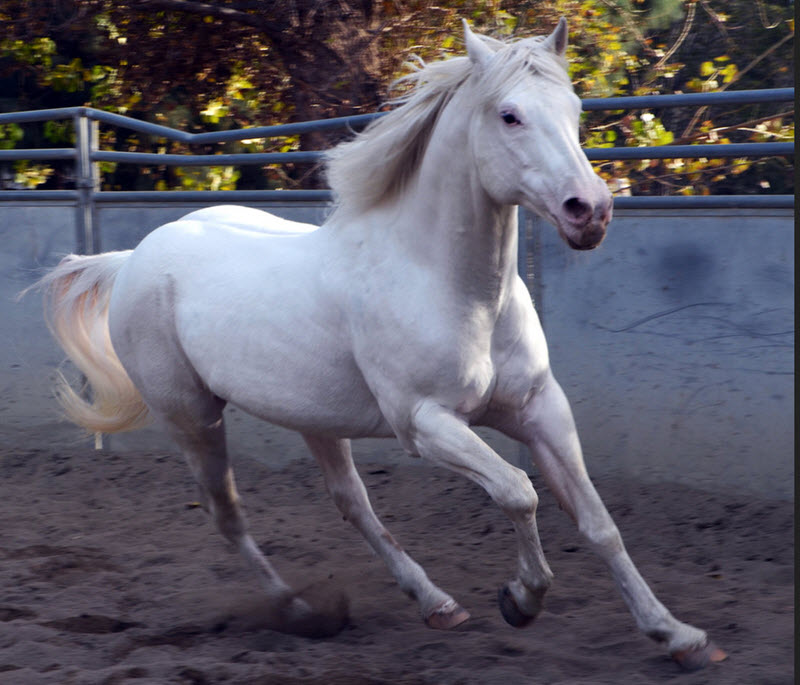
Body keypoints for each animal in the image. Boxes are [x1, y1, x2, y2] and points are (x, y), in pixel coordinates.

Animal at [34, 20, 728, 668]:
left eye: (576, 110)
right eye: (509, 115)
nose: (590, 212)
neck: (454, 289)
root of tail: (134, 258)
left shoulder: (539, 409)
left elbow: (598, 522)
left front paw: (679, 636)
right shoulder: (425, 423)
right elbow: (518, 492)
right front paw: (521, 600)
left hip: (313, 418)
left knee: (352, 504)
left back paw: (437, 604)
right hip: (192, 417)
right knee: (228, 516)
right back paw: (303, 611)